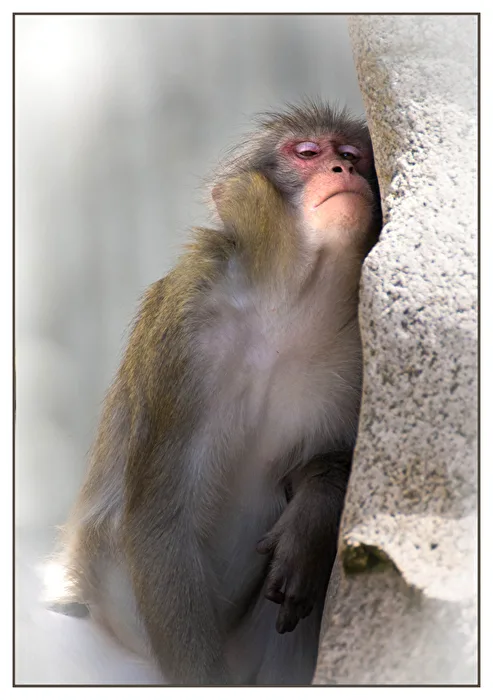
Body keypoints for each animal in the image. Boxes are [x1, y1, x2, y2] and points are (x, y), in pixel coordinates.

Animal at [50, 102, 381, 686]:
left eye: (351, 154)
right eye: (306, 153)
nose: (342, 170)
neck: (290, 303)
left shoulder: (360, 345)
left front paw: (314, 513)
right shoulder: (183, 324)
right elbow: (162, 521)